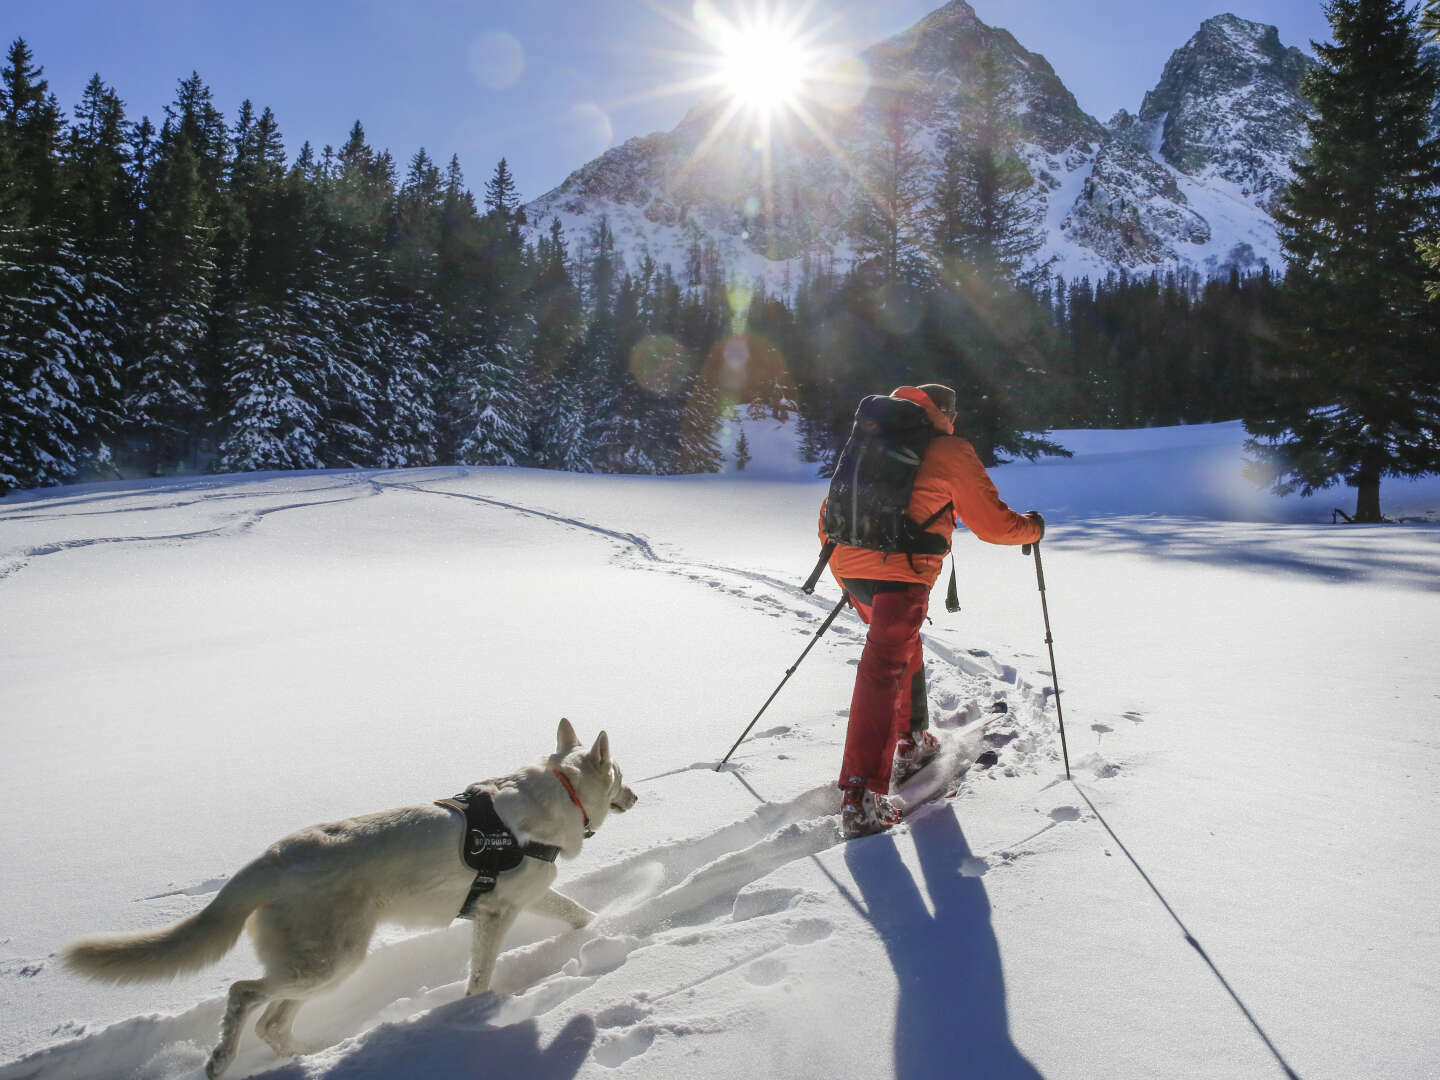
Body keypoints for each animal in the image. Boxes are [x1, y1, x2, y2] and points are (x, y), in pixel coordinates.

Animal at [61, 720, 636, 1080]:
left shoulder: (524, 900)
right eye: (623, 777)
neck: (562, 792)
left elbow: (579, 914)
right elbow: (480, 978)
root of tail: (272, 858)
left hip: (324, 965)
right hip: (332, 961)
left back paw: (311, 1056)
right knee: (242, 994)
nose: (635, 797)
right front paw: (473, 1014)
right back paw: (222, 1059)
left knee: (272, 1023)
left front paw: (606, 925)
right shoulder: (497, 915)